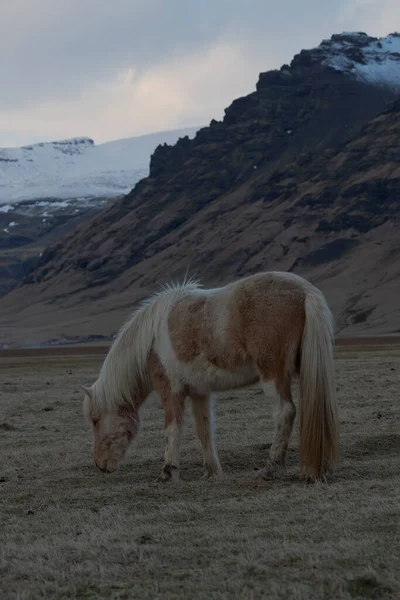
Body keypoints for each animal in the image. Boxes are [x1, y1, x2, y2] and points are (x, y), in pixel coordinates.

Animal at [83, 272, 340, 482]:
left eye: (95, 420)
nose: (100, 464)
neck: (151, 340)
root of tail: (305, 291)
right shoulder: (200, 393)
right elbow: (204, 429)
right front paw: (212, 471)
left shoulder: (171, 391)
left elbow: (172, 430)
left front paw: (168, 472)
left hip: (273, 375)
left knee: (285, 412)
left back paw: (270, 468)